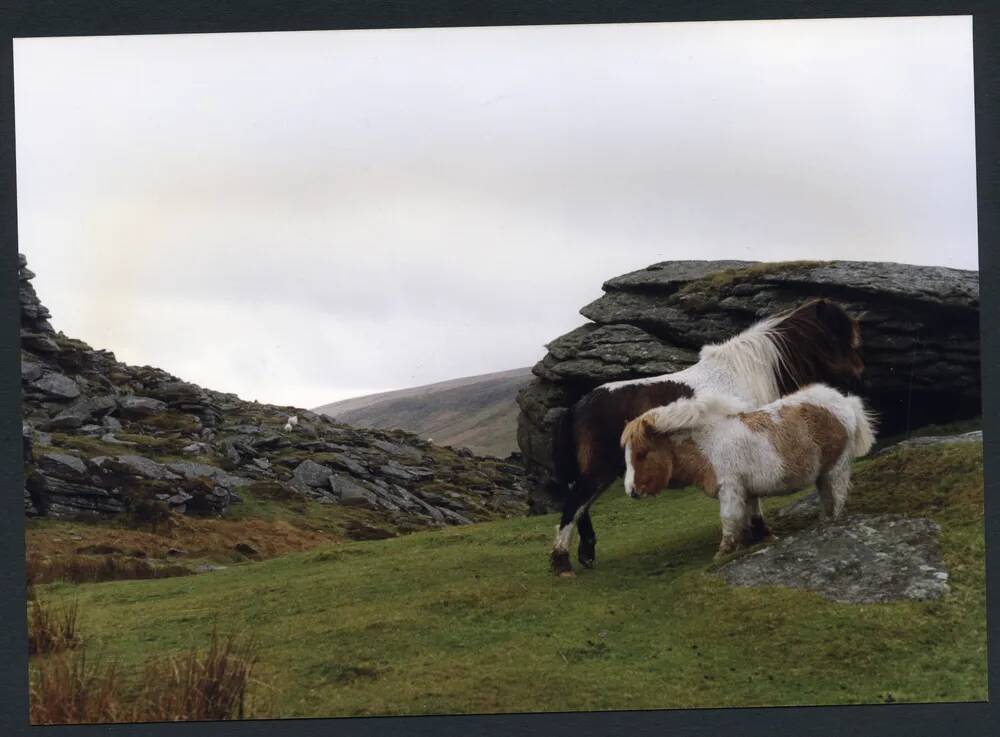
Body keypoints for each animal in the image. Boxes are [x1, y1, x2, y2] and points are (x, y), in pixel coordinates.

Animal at [620, 386, 872, 556]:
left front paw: (724, 551)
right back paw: (823, 521)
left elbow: (730, 518)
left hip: (837, 469)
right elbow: (750, 516)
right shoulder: (746, 491)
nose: (631, 491)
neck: (709, 443)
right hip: (823, 474)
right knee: (827, 497)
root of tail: (844, 401)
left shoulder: (729, 489)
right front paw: (759, 539)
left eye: (641, 453)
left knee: (837, 496)